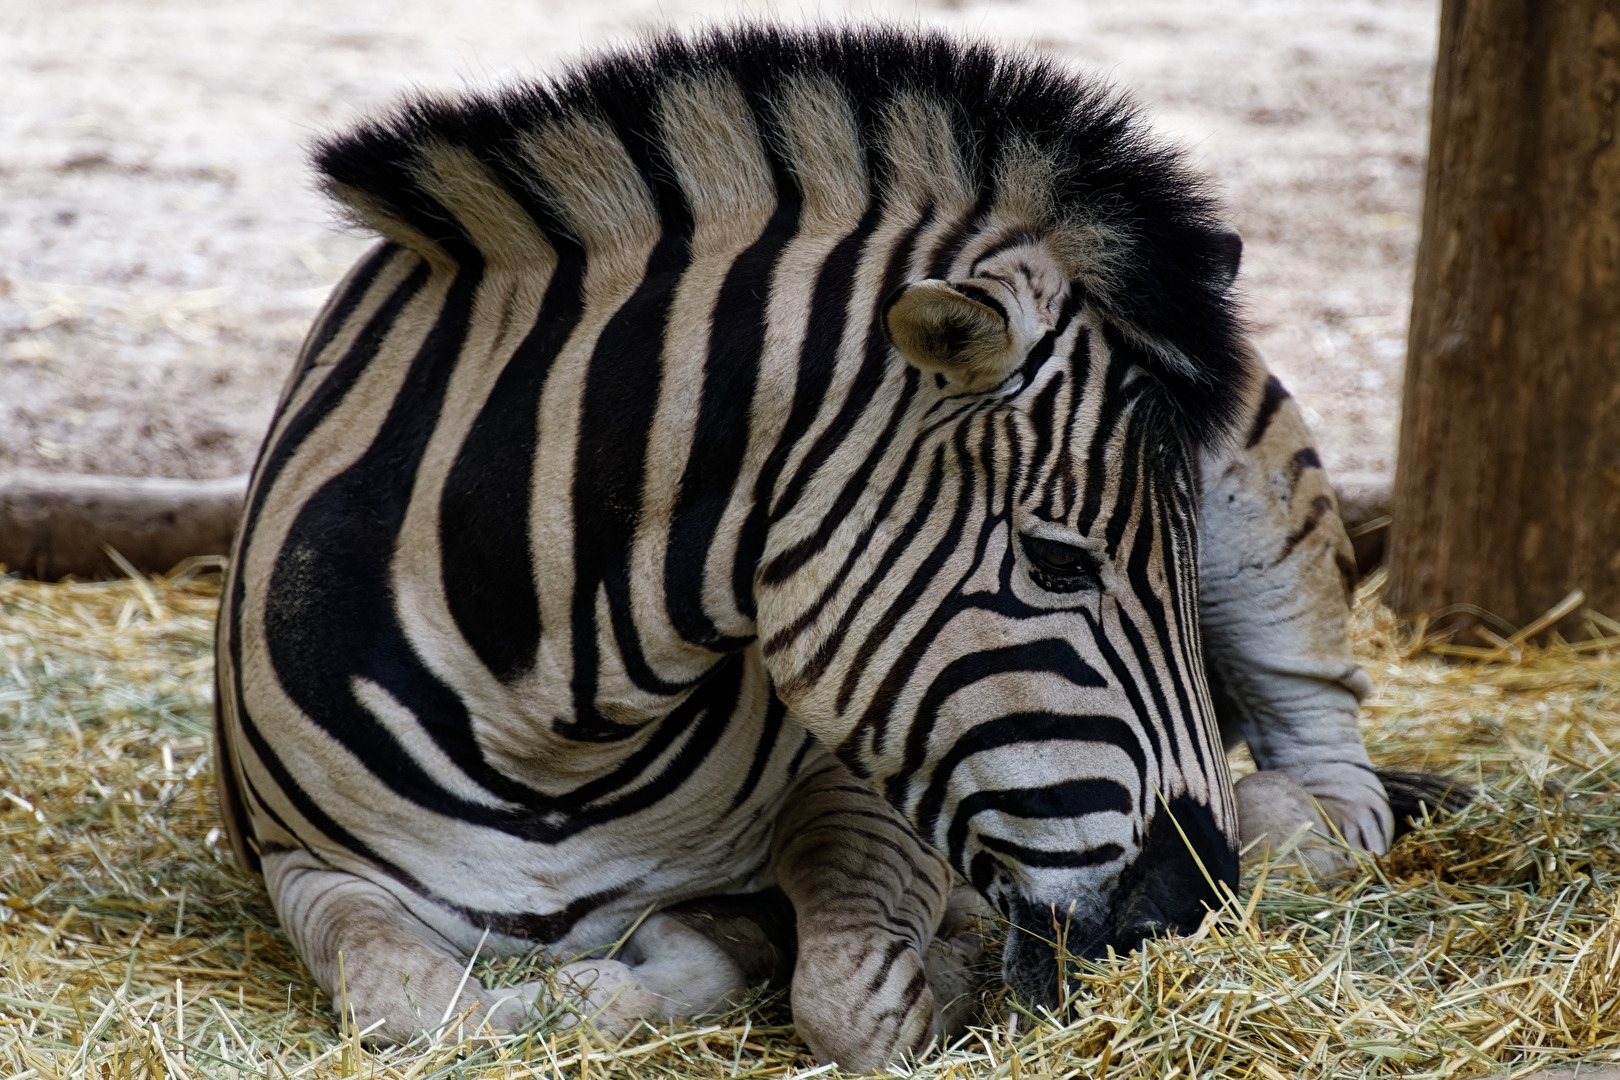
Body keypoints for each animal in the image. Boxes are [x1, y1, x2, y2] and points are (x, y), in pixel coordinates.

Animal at [214, 26, 1416, 1069]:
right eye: (1057, 562)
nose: (1187, 918)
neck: (556, 736)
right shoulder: (306, 865)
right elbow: (408, 1001)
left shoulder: (876, 778)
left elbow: (849, 996)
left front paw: (920, 963)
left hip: (1265, 524)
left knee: (1332, 764)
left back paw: (1277, 818)